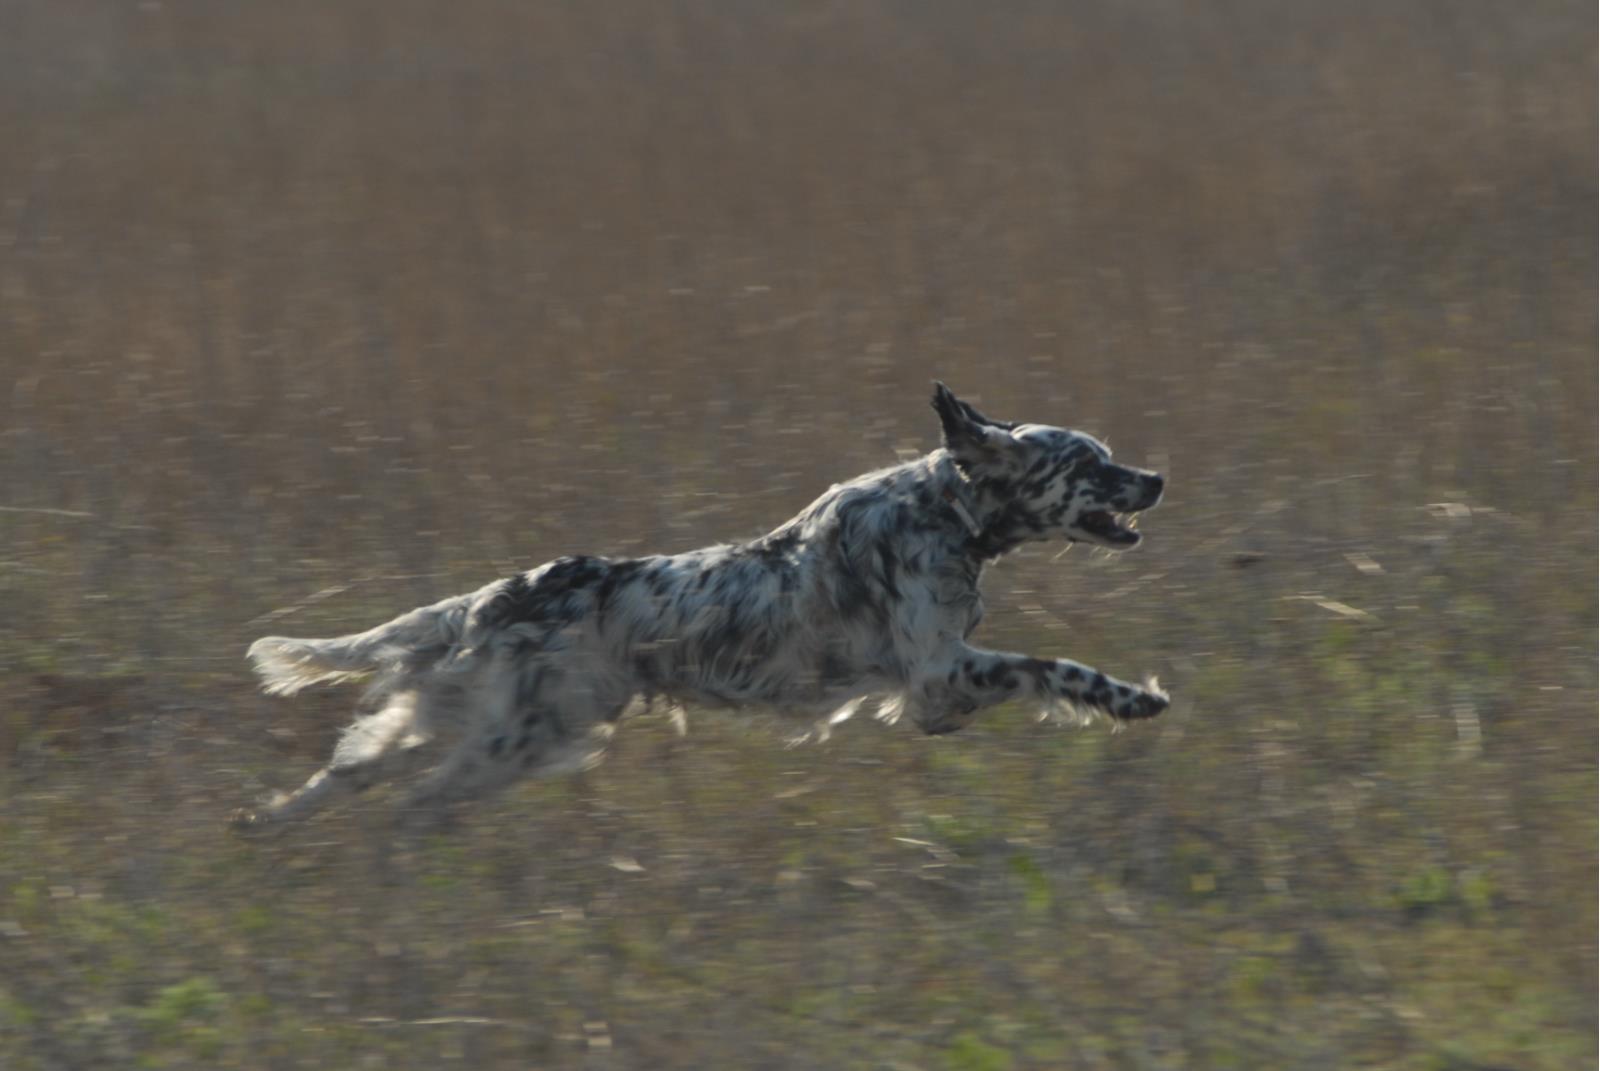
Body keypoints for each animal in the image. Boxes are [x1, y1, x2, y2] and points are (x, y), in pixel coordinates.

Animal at [239, 383, 1167, 825]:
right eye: (1090, 462)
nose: (1158, 478)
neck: (948, 509)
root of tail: (500, 592)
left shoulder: (940, 685)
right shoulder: (939, 677)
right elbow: (1056, 667)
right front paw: (1133, 698)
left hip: (492, 715)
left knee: (357, 767)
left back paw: (269, 823)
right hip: (522, 732)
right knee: (413, 797)